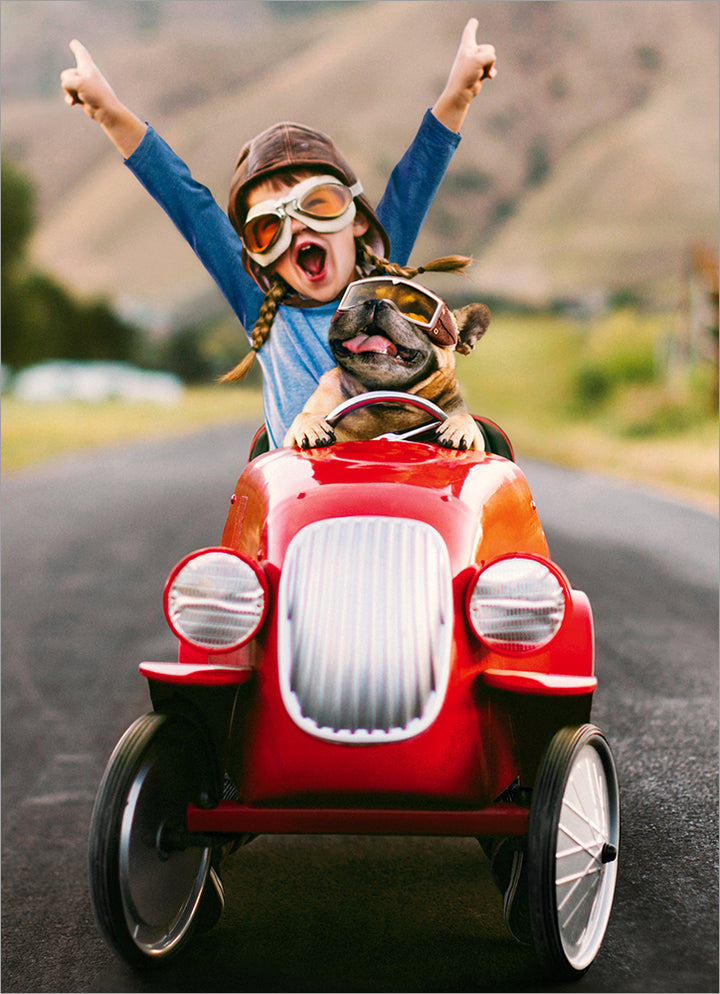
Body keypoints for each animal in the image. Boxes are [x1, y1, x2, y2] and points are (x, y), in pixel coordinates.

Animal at [284, 280, 492, 450]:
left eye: (418, 314)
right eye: (358, 298)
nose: (376, 302)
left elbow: (465, 418)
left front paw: (459, 427)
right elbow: (302, 416)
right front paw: (311, 425)